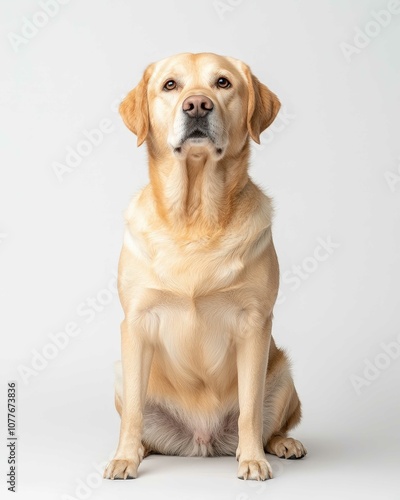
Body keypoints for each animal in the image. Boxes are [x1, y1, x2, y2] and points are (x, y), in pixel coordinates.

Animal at [104, 52, 306, 482]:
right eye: (170, 85)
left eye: (223, 83)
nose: (197, 105)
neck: (195, 215)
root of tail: (202, 442)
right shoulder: (136, 323)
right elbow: (132, 414)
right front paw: (124, 458)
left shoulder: (255, 324)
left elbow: (250, 410)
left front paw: (252, 460)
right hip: (121, 371)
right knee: (138, 419)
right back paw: (139, 449)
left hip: (282, 373)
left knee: (271, 423)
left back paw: (281, 443)